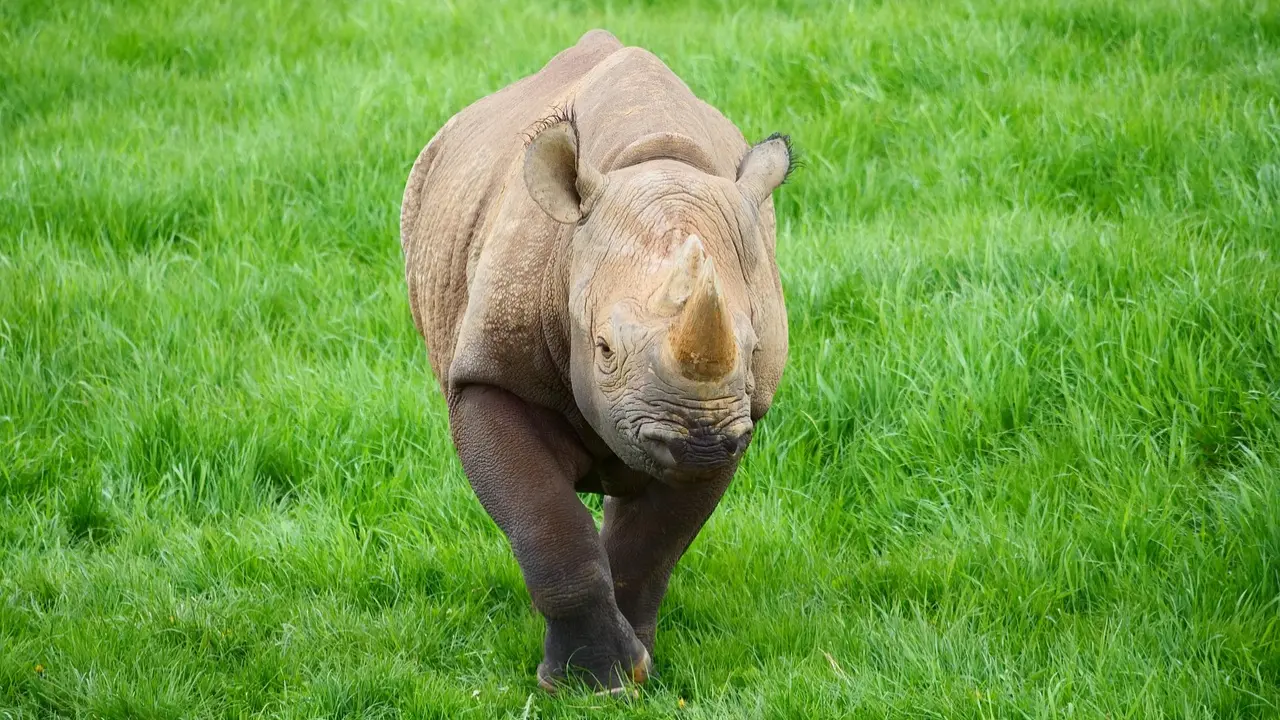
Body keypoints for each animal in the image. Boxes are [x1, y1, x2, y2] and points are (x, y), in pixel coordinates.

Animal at [399, 29, 794, 693]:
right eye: (604, 349)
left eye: (756, 349)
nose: (698, 443)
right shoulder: (490, 376)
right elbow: (548, 525)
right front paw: (590, 681)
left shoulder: (736, 415)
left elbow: (652, 545)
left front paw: (635, 670)